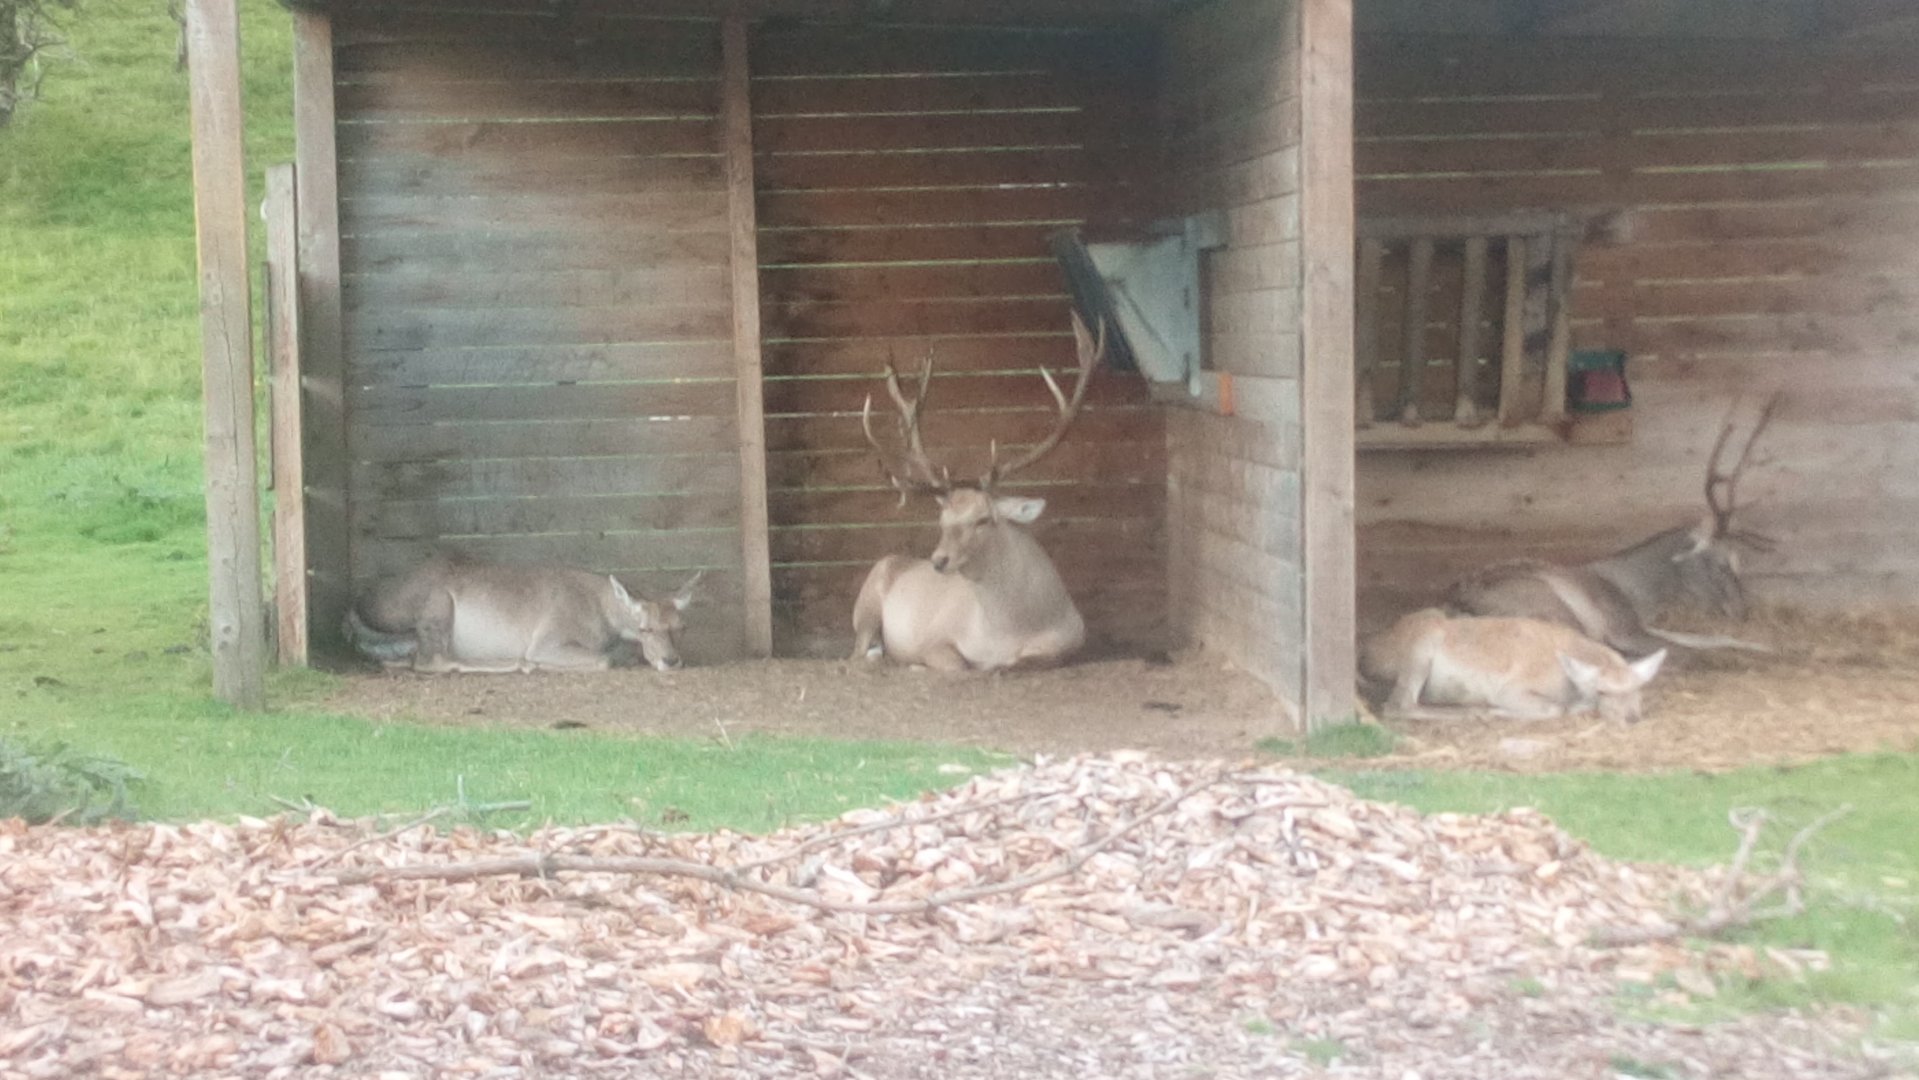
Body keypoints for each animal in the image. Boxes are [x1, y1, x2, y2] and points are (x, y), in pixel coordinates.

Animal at [344, 555, 703, 674]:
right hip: (438, 603)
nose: (671, 660)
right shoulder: (549, 638)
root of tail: (357, 604)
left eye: (682, 626)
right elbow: (603, 660)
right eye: (645, 628)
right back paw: (516, 664)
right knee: (433, 659)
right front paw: (535, 664)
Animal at [848, 313, 1106, 673]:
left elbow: (1022, 662)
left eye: (983, 519)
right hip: (867, 602)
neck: (1008, 632)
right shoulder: (934, 640)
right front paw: (921, 666)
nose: (938, 560)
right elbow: (962, 666)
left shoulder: (1071, 642)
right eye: (942, 520)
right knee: (857, 652)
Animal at [1361, 608, 1668, 724]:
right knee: (1397, 705)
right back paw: (1471, 711)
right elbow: (1554, 709)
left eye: (1639, 689)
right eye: (1602, 691)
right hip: (1421, 646)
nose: (1632, 718)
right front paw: (1494, 711)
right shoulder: (1510, 689)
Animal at [1444, 394, 1782, 658]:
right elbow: (1688, 649)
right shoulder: (1623, 628)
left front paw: (1771, 648)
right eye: (1721, 563)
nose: (1743, 612)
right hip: (1551, 608)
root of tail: (1456, 608)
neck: (1641, 597)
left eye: (1741, 562)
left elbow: (1710, 639)